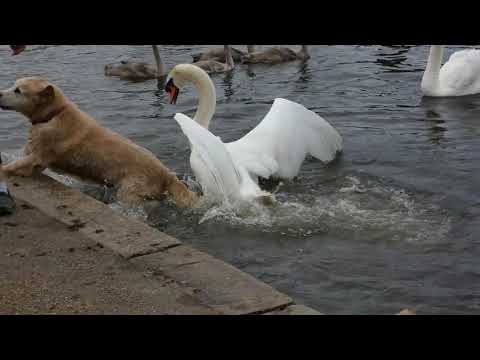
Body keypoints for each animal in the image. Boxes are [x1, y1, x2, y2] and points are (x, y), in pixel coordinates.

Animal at [0, 78, 197, 208]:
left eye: (18, 90)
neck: (53, 115)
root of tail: (166, 173)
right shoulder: (37, 161)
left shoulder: (38, 157)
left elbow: (11, 166)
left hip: (129, 193)